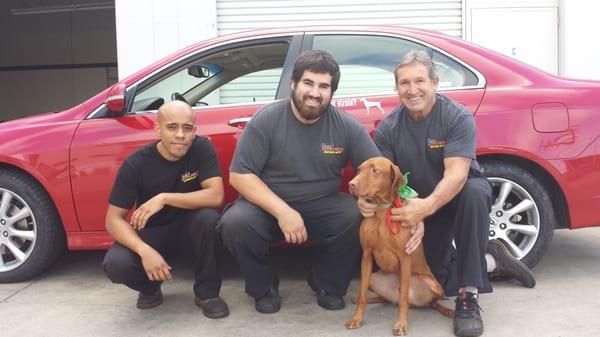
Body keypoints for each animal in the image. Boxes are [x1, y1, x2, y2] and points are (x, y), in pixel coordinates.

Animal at [344, 156, 452, 334]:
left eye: (375, 170)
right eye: (359, 169)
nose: (351, 184)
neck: (382, 210)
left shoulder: (405, 258)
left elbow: (403, 300)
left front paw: (401, 324)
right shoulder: (366, 255)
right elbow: (362, 295)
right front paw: (356, 318)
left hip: (434, 285)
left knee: (433, 302)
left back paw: (449, 311)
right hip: (373, 278)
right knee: (384, 298)